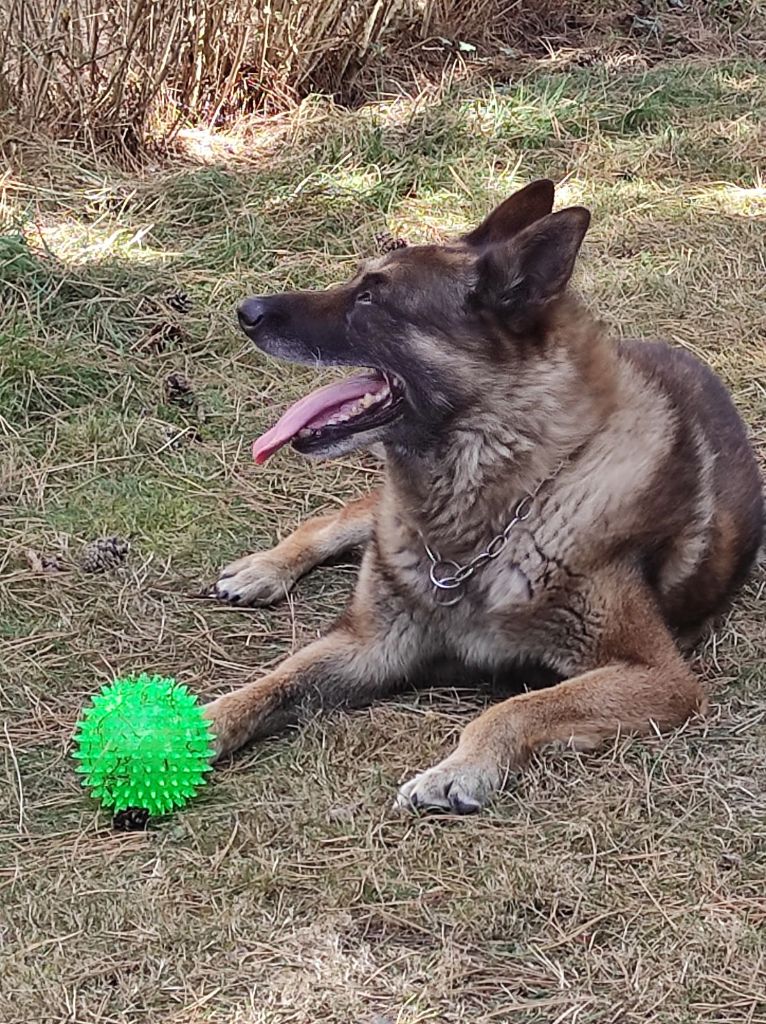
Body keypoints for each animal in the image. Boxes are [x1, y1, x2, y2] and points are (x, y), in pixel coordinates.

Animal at [206, 180, 761, 811]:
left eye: (370, 300)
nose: (245, 311)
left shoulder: (658, 676)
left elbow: (516, 706)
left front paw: (461, 767)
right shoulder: (369, 645)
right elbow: (271, 683)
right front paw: (192, 726)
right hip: (381, 526)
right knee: (339, 517)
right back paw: (264, 568)